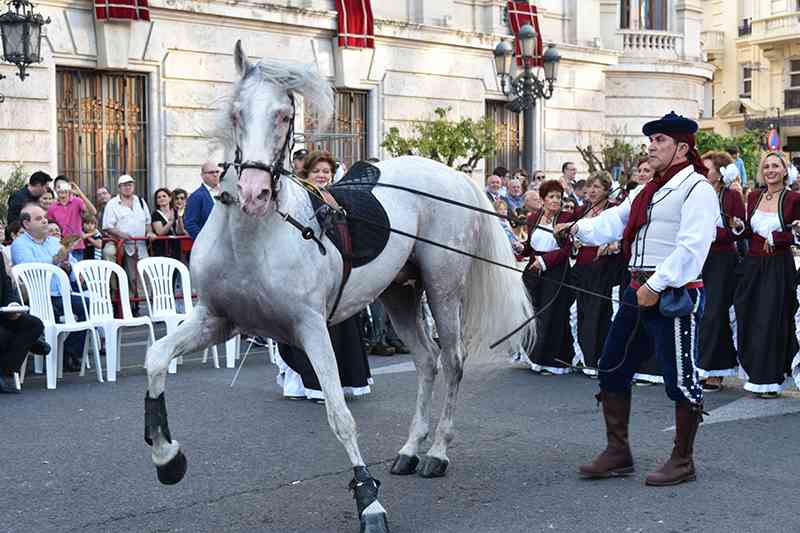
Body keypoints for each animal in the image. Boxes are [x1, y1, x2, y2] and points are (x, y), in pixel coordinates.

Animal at [142, 40, 535, 533]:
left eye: (285, 115)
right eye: (236, 113)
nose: (253, 193)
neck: (254, 237)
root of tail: (453, 176)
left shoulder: (311, 328)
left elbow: (339, 414)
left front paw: (369, 503)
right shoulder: (216, 321)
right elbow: (156, 358)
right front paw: (166, 457)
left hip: (443, 288)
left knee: (452, 361)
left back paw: (438, 452)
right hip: (399, 294)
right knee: (427, 362)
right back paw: (411, 449)